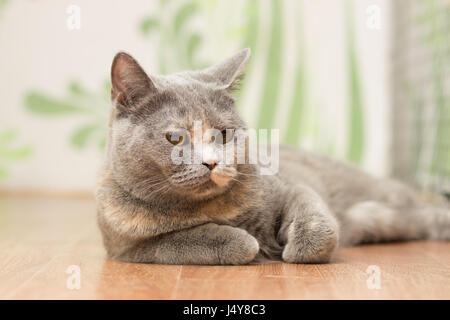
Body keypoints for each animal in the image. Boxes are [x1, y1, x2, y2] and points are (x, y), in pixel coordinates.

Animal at [96, 48, 450, 264]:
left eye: (223, 134)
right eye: (175, 137)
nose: (211, 162)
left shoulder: (292, 186)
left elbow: (317, 221)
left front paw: (292, 247)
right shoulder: (129, 247)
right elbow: (191, 240)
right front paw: (251, 243)